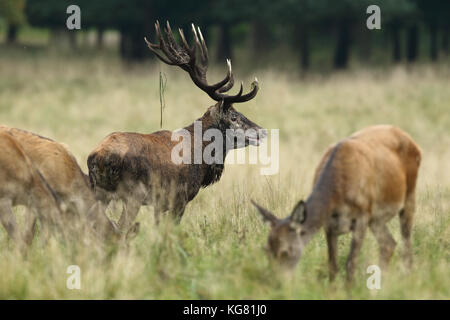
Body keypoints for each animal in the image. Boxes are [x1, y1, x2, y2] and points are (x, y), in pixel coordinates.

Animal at [86, 20, 266, 230]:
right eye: (234, 116)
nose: (262, 131)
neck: (202, 158)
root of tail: (97, 157)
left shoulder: (159, 204)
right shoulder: (179, 197)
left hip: (98, 190)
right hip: (132, 194)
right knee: (120, 226)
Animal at [253, 125, 422, 282]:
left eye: (285, 252)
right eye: (266, 250)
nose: (276, 282)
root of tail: (411, 140)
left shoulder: (362, 216)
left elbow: (351, 262)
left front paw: (350, 289)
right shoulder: (329, 224)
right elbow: (332, 265)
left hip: (409, 195)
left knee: (406, 241)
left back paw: (407, 276)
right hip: (376, 218)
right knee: (388, 243)